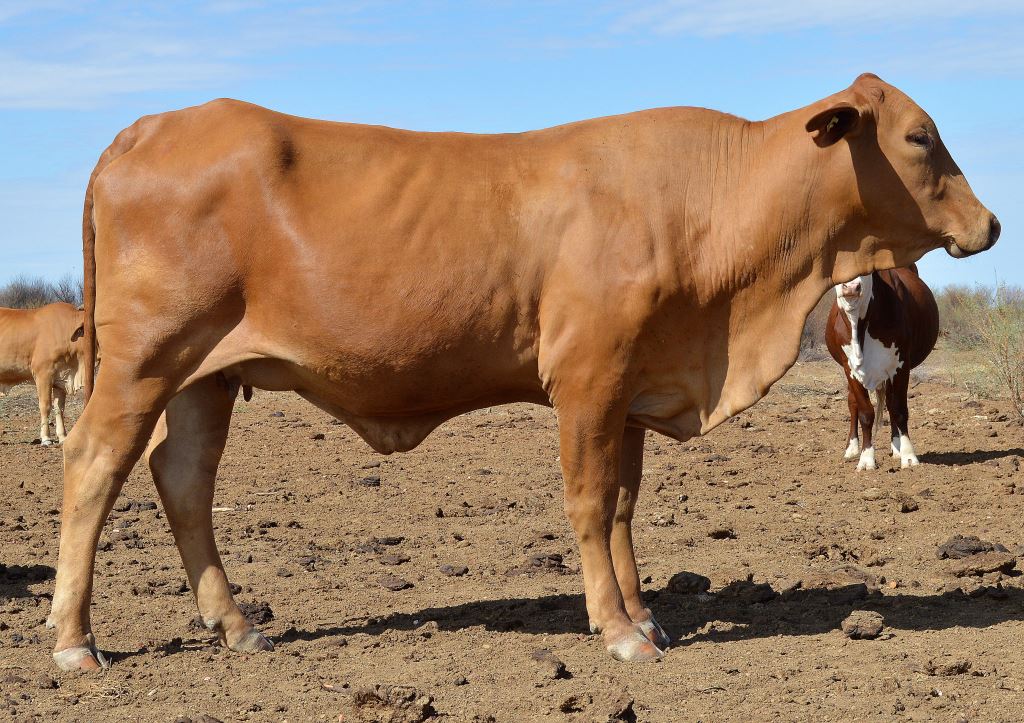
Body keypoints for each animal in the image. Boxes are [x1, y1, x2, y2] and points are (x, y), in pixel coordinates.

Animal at [0, 299, 86, 444]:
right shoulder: (43, 375)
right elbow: (45, 405)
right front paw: (46, 438)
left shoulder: (60, 378)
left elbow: (59, 408)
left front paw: (63, 437)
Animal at [827, 268, 937, 471]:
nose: (851, 287)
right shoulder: (850, 369)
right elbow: (865, 412)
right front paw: (866, 458)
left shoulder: (900, 365)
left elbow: (899, 409)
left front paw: (908, 456)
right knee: (852, 403)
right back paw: (852, 448)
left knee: (891, 403)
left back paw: (896, 447)